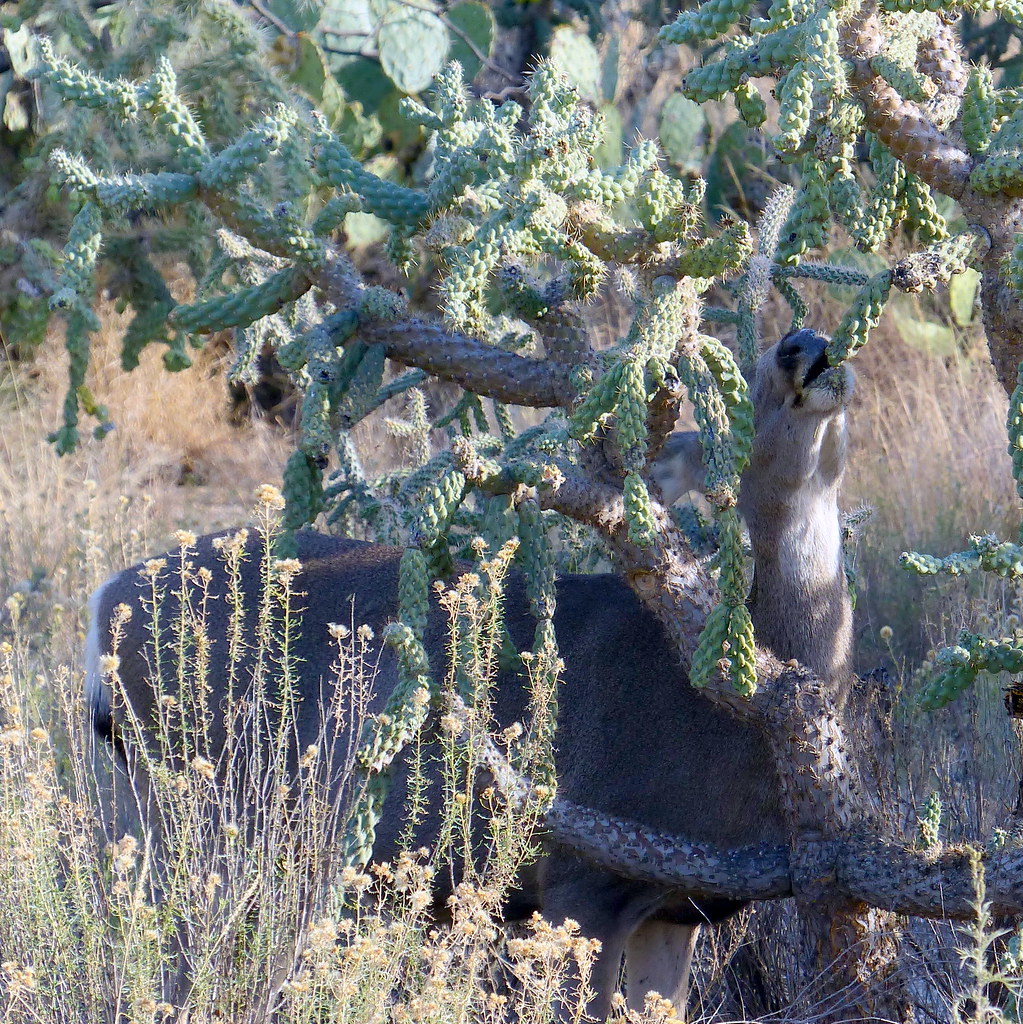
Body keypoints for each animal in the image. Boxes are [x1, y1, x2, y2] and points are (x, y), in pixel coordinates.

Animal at [84, 327, 854, 1018]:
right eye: (736, 389)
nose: (804, 344)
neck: (717, 715)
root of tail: (102, 605)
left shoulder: (676, 907)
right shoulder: (583, 877)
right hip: (203, 811)